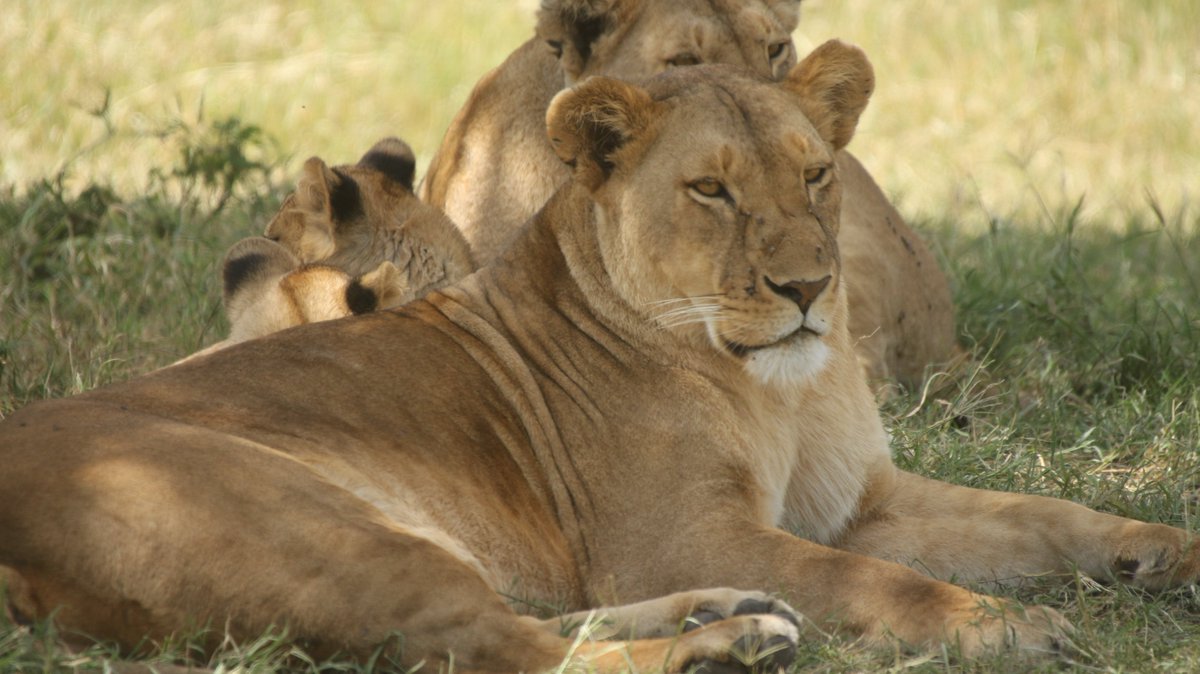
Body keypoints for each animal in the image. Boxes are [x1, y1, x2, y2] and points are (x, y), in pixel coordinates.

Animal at [4, 43, 1198, 673]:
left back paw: (725, 613)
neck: (787, 391)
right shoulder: (678, 532)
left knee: (527, 624)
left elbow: (1043, 518)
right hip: (313, 523)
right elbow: (879, 580)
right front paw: (1010, 627)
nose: (808, 288)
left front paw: (1166, 553)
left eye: (816, 175)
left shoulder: (861, 500)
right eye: (711, 190)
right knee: (509, 650)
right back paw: (733, 639)